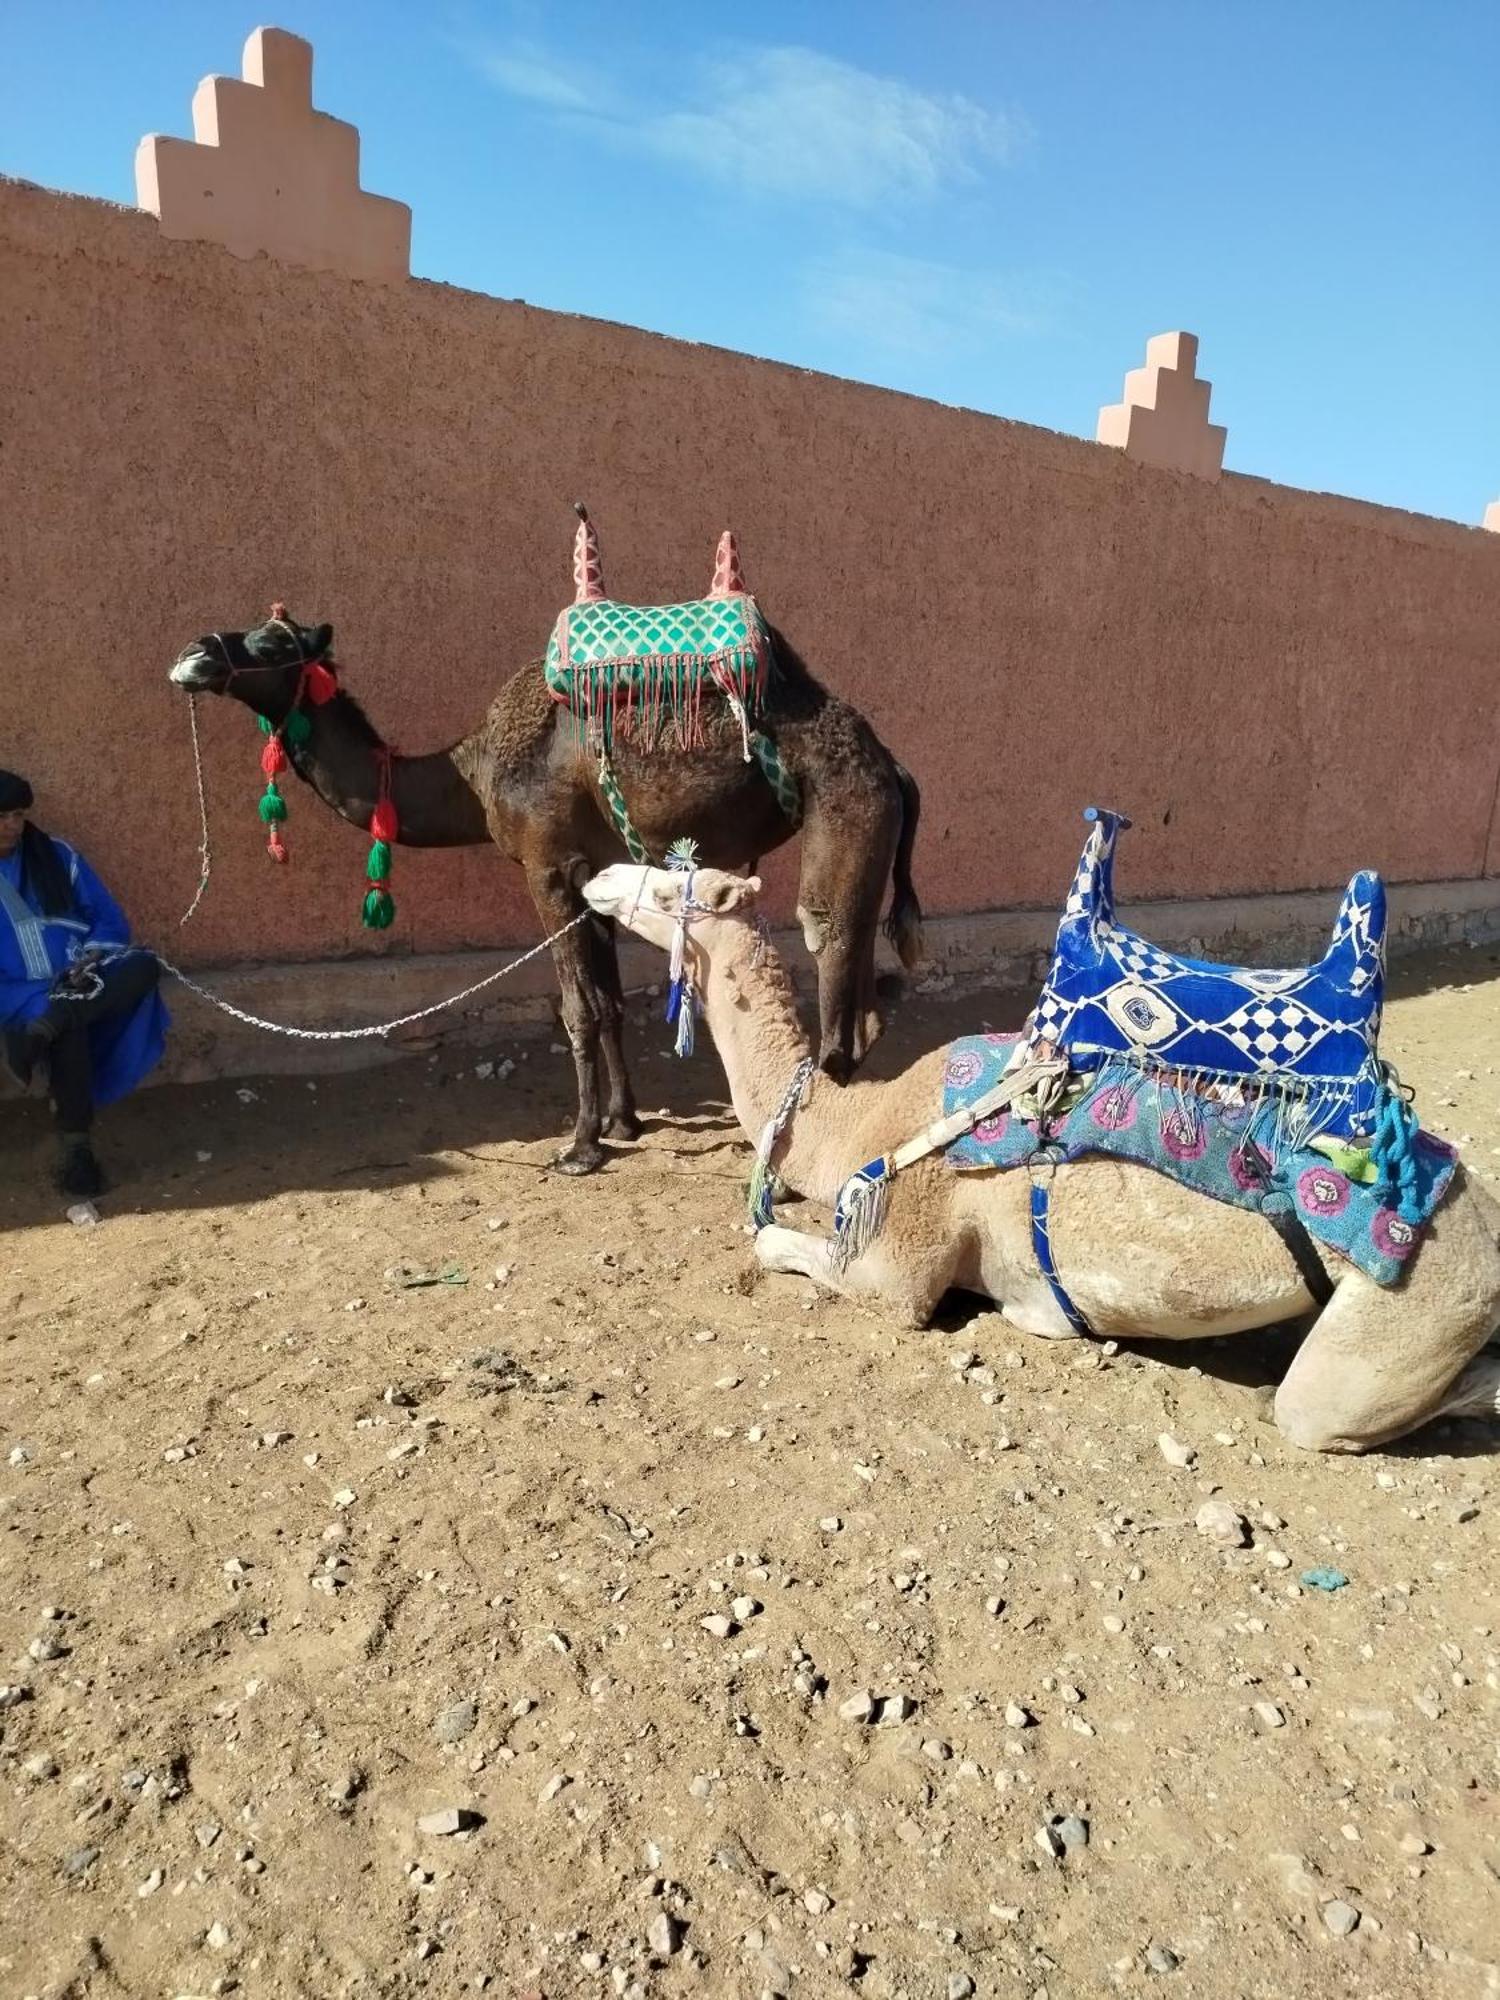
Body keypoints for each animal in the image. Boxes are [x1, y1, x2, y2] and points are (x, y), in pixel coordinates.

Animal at [164, 556, 916, 1168]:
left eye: (271, 644)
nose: (194, 653)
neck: (471, 774)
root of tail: (894, 764)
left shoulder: (546, 866)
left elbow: (575, 1009)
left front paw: (580, 1145)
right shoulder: (595, 876)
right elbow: (609, 1004)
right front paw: (625, 1121)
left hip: (848, 808)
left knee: (829, 960)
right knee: (866, 1011)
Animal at [584, 860, 1500, 1456]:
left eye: (669, 889)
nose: (594, 879)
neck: (857, 1120)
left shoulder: (899, 1261)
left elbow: (778, 1244)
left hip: (1400, 1320)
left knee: (1329, 1410)